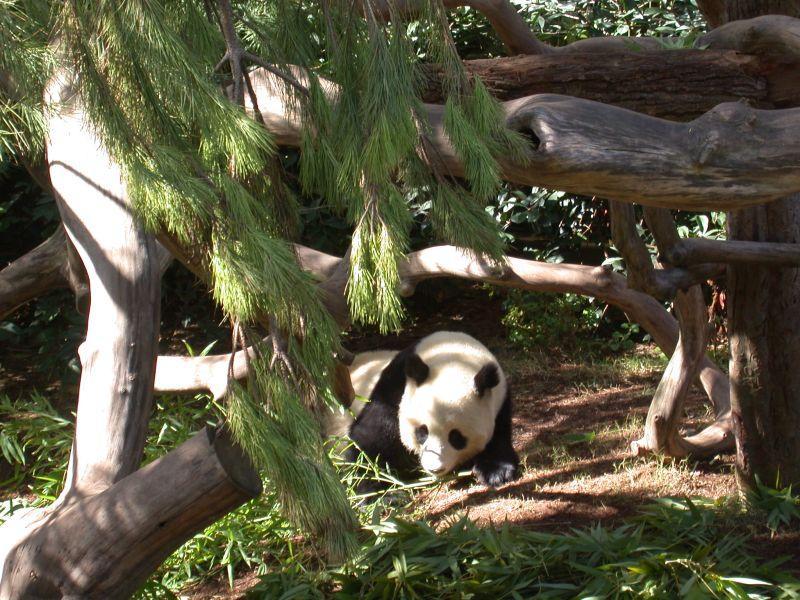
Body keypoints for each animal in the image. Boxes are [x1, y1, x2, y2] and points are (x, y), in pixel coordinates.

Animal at [336, 330, 520, 490]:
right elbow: (369, 442)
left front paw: (496, 472)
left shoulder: (500, 401)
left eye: (456, 437)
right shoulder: (392, 391)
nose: (435, 468)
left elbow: (499, 435)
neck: (454, 356)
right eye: (422, 432)